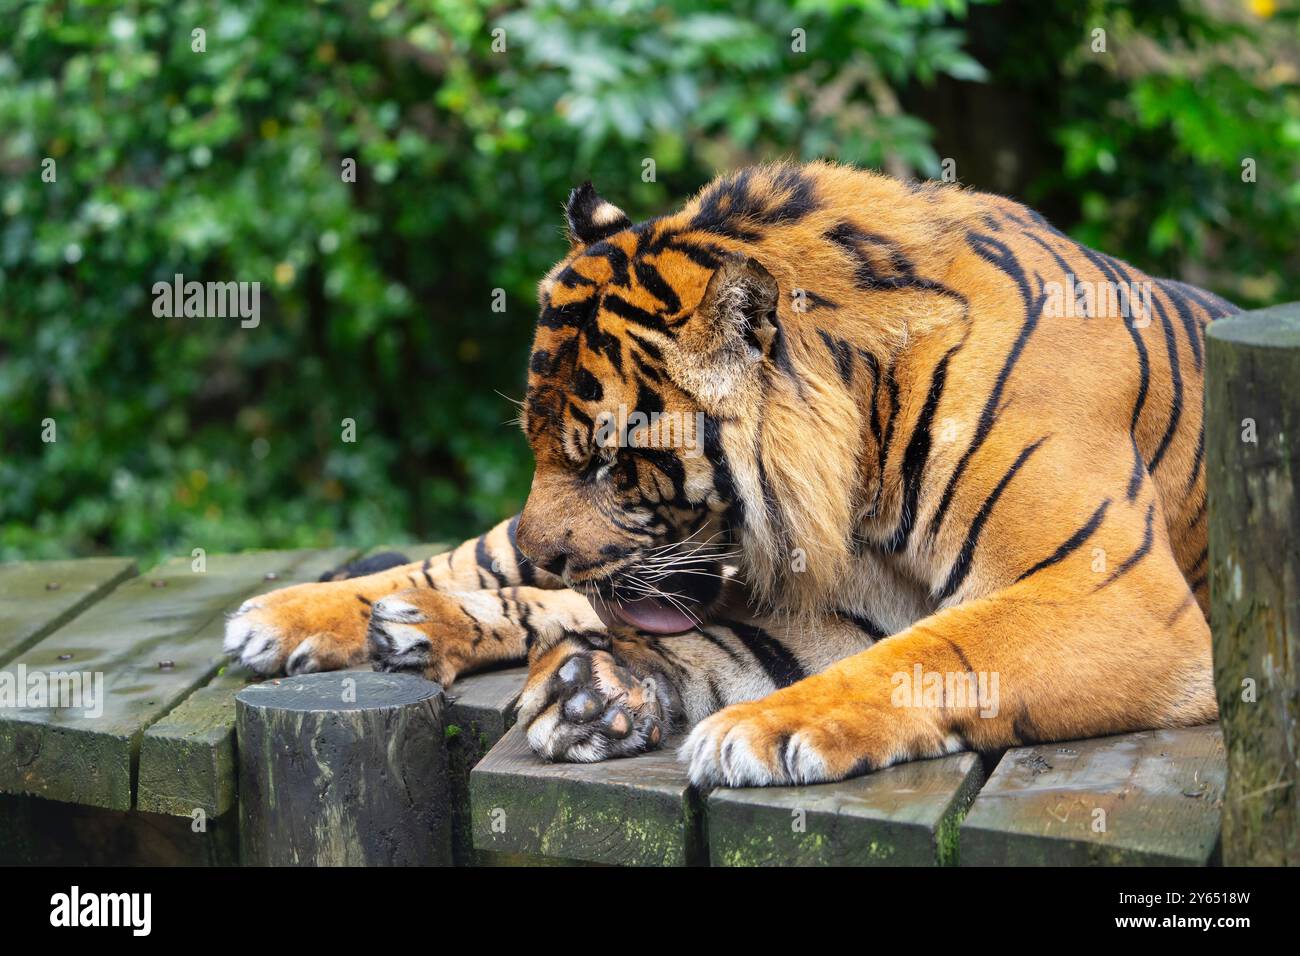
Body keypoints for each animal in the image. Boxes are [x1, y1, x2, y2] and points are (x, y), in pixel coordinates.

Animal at [224, 161, 1237, 787]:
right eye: (540, 447)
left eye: (608, 463)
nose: (554, 554)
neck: (866, 442)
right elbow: (755, 645)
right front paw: (613, 692)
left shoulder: (1111, 590)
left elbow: (928, 655)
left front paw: (755, 727)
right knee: (480, 559)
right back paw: (306, 617)